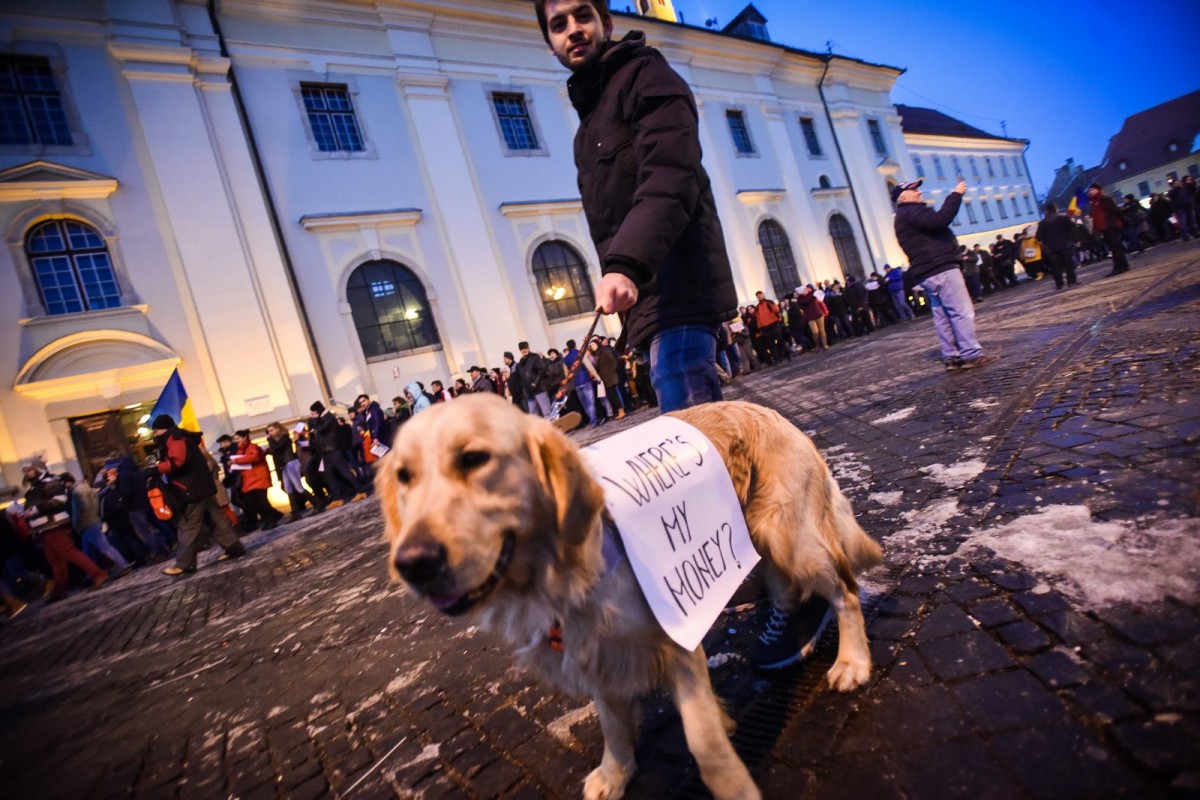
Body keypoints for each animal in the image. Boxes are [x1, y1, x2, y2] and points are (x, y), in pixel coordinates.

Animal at [376, 393, 883, 800]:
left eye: (474, 459)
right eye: (404, 476)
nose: (413, 562)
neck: (558, 574)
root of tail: (773, 413)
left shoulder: (677, 639)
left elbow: (705, 744)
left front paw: (734, 786)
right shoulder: (594, 652)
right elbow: (613, 725)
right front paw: (615, 774)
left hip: (789, 535)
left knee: (846, 590)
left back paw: (852, 662)